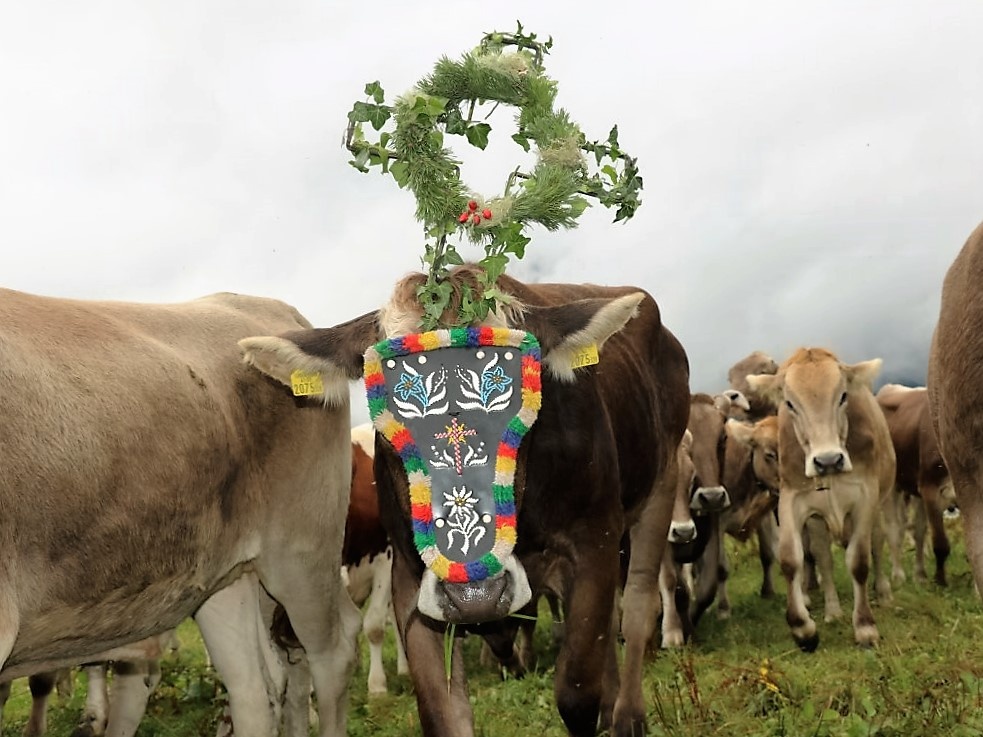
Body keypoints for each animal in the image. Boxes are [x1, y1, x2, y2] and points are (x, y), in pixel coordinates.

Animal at [238, 265, 691, 737]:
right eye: (385, 411)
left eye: (526, 396)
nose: (476, 595)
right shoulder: (408, 580)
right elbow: (443, 715)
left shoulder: (594, 541)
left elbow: (577, 692)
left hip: (664, 480)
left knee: (638, 605)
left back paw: (628, 713)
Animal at [746, 347, 896, 650]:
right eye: (789, 403)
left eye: (843, 396)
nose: (827, 460)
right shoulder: (792, 500)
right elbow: (792, 559)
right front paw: (803, 628)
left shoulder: (865, 499)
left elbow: (859, 561)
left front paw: (865, 626)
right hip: (817, 521)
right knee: (823, 557)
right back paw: (833, 611)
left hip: (882, 503)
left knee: (877, 544)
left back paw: (884, 593)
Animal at [876, 384, 956, 585]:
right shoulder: (931, 488)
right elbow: (941, 543)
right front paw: (940, 581)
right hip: (893, 487)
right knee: (894, 529)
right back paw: (898, 575)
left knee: (917, 531)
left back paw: (920, 574)